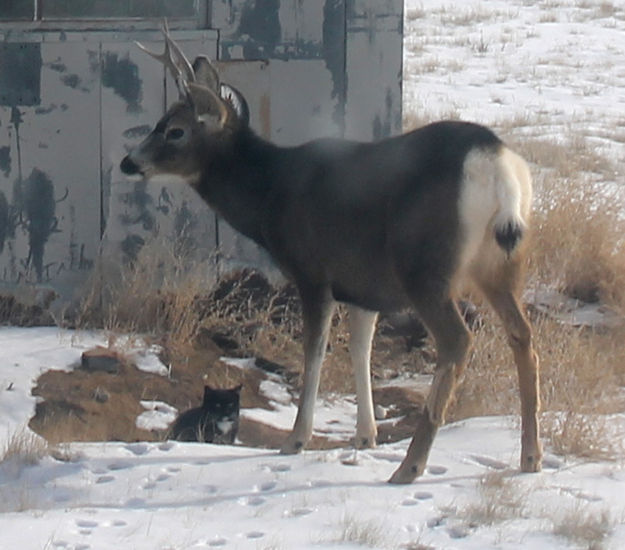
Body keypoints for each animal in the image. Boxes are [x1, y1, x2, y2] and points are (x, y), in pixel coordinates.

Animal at [119, 25, 540, 486]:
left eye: (175, 130)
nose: (128, 162)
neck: (269, 195)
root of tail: (496, 165)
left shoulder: (312, 271)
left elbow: (315, 351)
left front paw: (297, 439)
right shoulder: (364, 284)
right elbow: (360, 349)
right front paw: (365, 436)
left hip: (425, 265)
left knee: (457, 341)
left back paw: (410, 466)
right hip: (502, 264)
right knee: (523, 335)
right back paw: (530, 456)